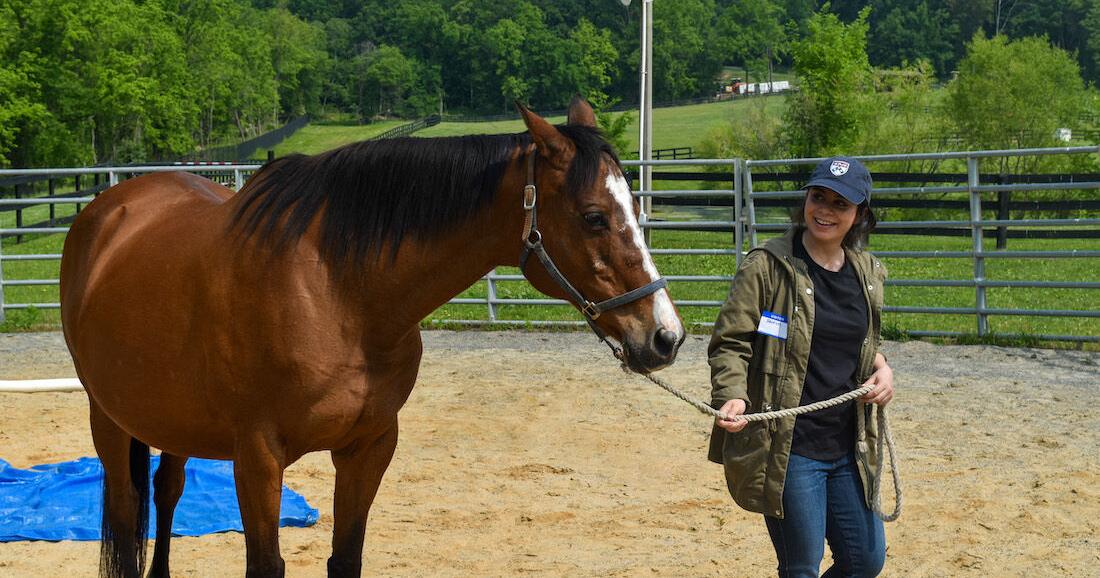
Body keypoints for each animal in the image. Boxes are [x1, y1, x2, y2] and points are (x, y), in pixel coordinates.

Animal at [59, 97, 684, 577]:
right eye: (594, 216)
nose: (665, 337)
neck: (338, 292)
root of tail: (109, 208)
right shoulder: (257, 459)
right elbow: (266, 565)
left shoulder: (369, 448)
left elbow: (346, 559)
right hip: (106, 418)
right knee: (126, 515)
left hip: (171, 418)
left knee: (166, 492)